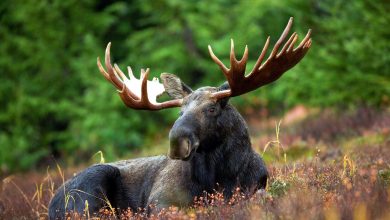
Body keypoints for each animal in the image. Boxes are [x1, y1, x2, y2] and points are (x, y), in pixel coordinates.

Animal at [48, 17, 312, 218]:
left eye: (212, 109)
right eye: (180, 111)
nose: (177, 142)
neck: (221, 177)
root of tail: (52, 204)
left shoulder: (256, 186)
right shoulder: (160, 201)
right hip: (90, 189)